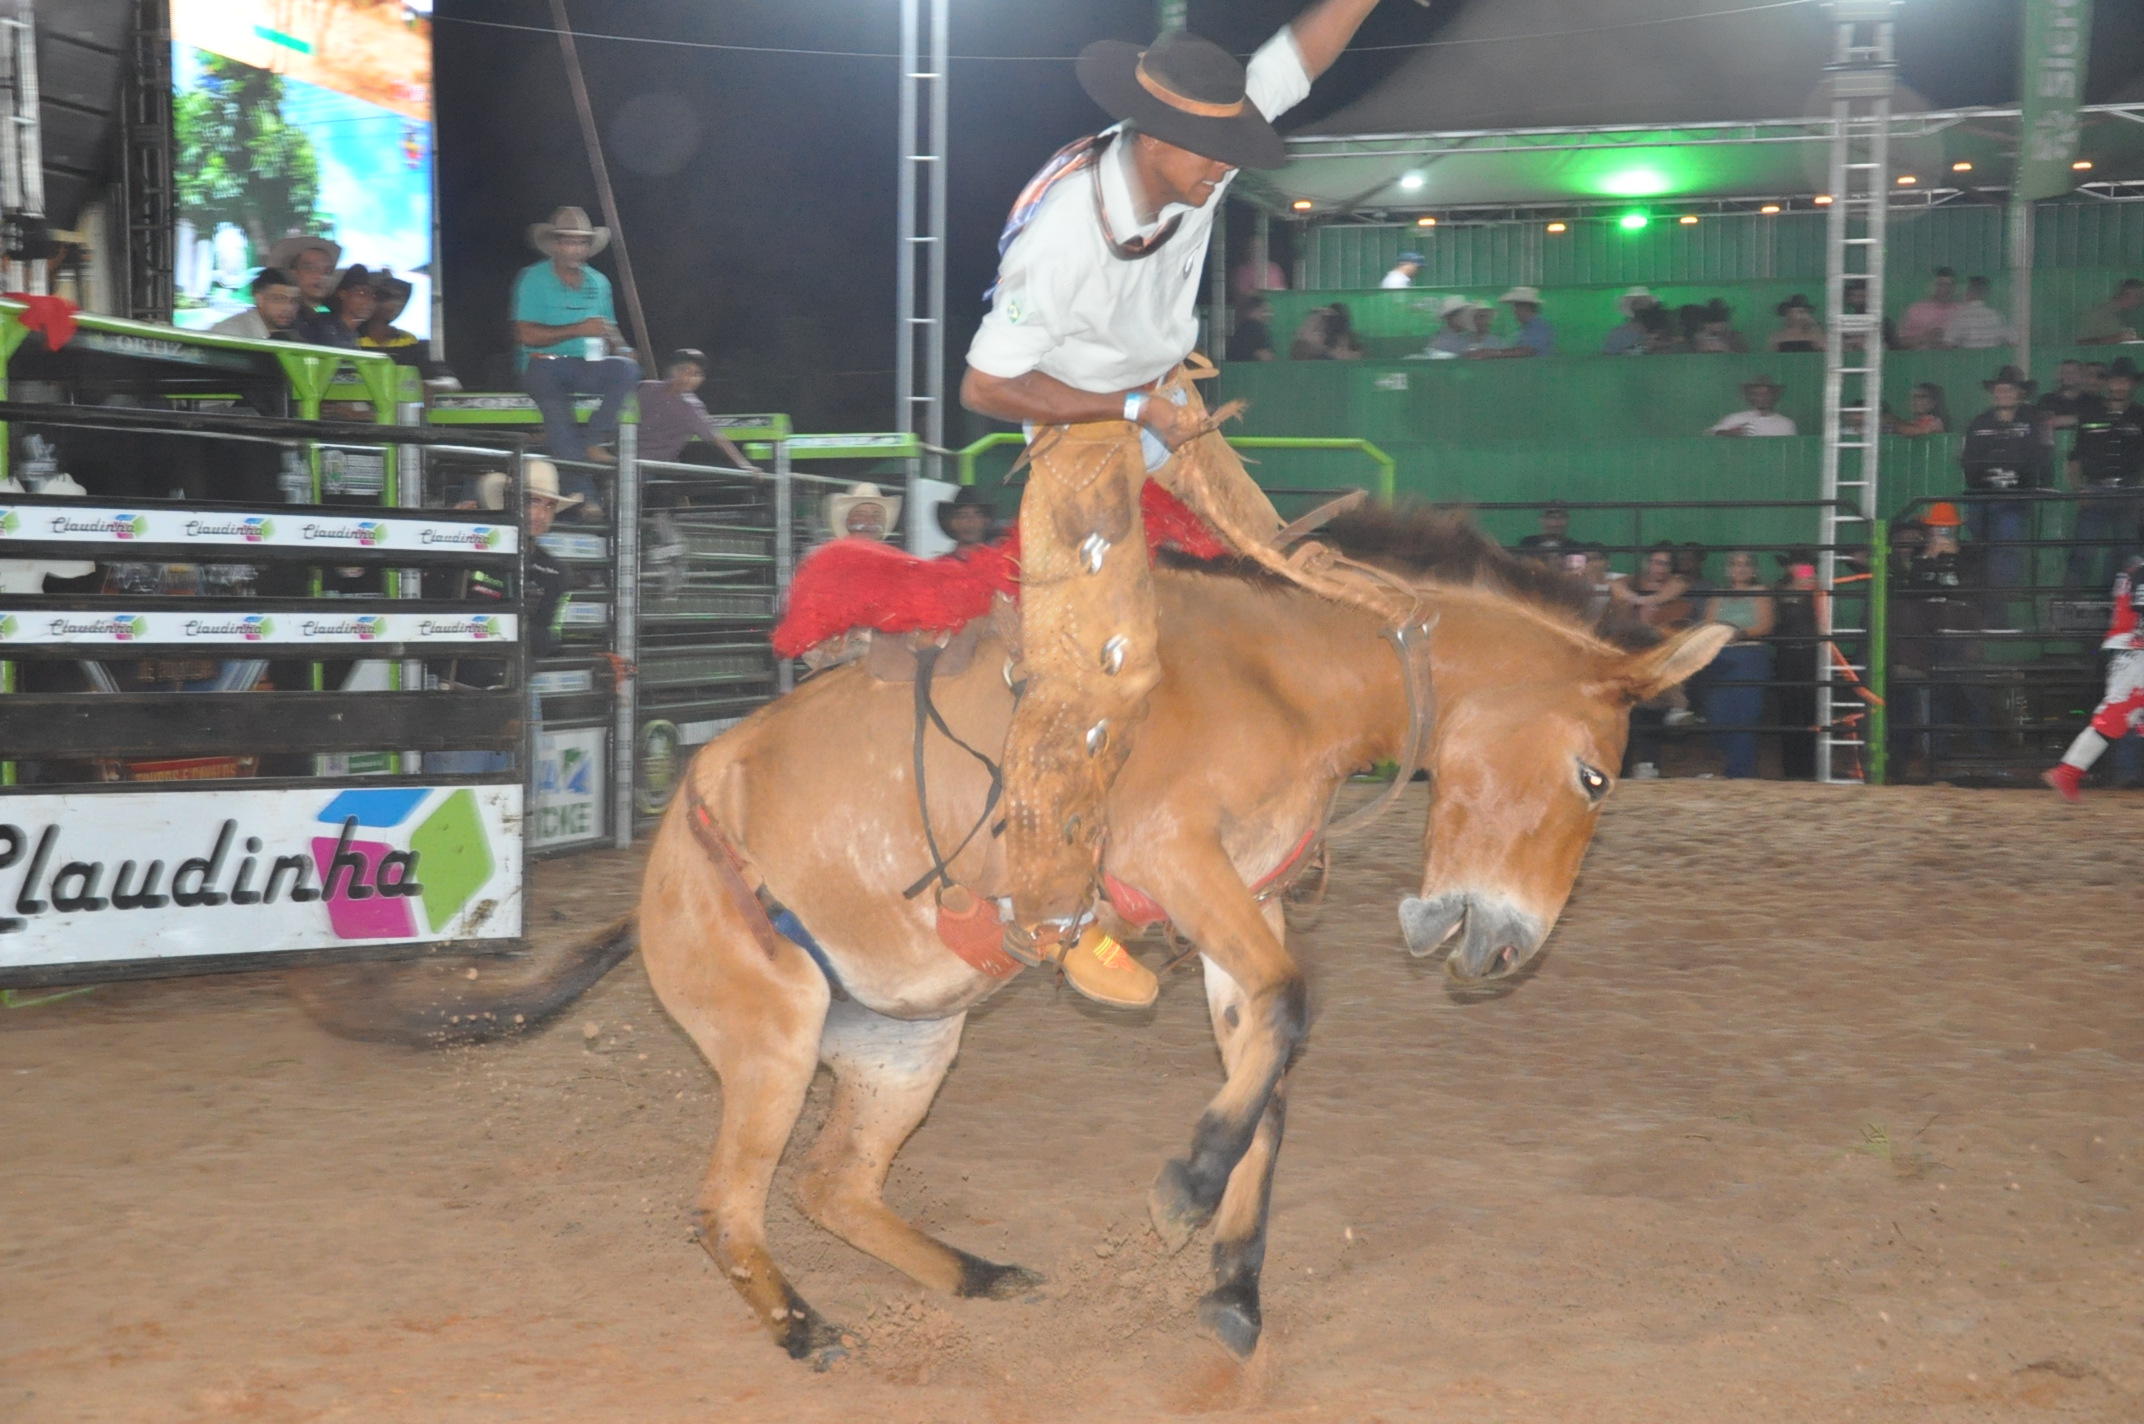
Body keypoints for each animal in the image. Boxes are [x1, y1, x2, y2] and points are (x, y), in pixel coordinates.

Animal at [637, 509, 1729, 1365]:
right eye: (1594, 777)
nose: (1508, 950)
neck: (1285, 674)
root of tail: (676, 838)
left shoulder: (1240, 901)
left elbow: (1266, 1065)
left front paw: (1234, 1284)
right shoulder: (1175, 858)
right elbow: (1289, 1009)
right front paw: (1189, 1186)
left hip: (904, 1042)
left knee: (834, 1184)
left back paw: (974, 1273)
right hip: (773, 1041)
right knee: (725, 1203)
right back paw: (804, 1327)